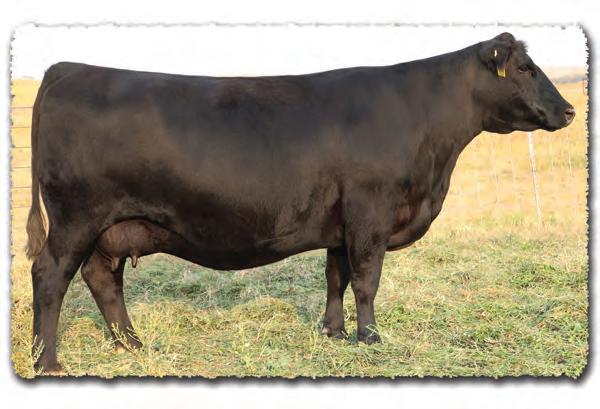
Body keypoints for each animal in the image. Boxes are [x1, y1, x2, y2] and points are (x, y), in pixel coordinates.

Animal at [25, 32, 575, 373]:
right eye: (524, 67)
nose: (569, 110)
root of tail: (66, 69)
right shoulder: (371, 211)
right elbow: (367, 279)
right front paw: (369, 338)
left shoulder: (341, 222)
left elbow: (337, 276)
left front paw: (332, 332)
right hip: (76, 217)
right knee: (51, 275)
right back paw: (47, 360)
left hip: (110, 227)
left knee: (102, 278)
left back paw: (132, 344)